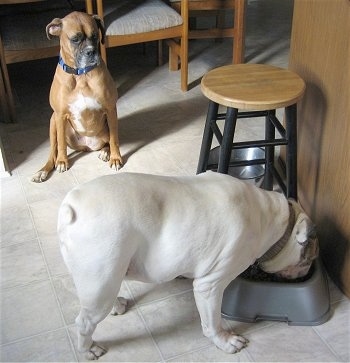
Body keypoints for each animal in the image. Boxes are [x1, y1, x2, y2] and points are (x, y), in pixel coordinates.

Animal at [31, 11, 121, 183]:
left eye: (95, 36)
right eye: (75, 39)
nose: (91, 51)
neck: (80, 75)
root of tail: (86, 146)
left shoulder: (111, 109)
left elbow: (114, 139)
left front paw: (115, 158)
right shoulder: (60, 115)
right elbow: (60, 145)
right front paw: (62, 162)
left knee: (107, 141)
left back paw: (105, 152)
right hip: (53, 121)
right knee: (53, 151)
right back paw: (43, 171)